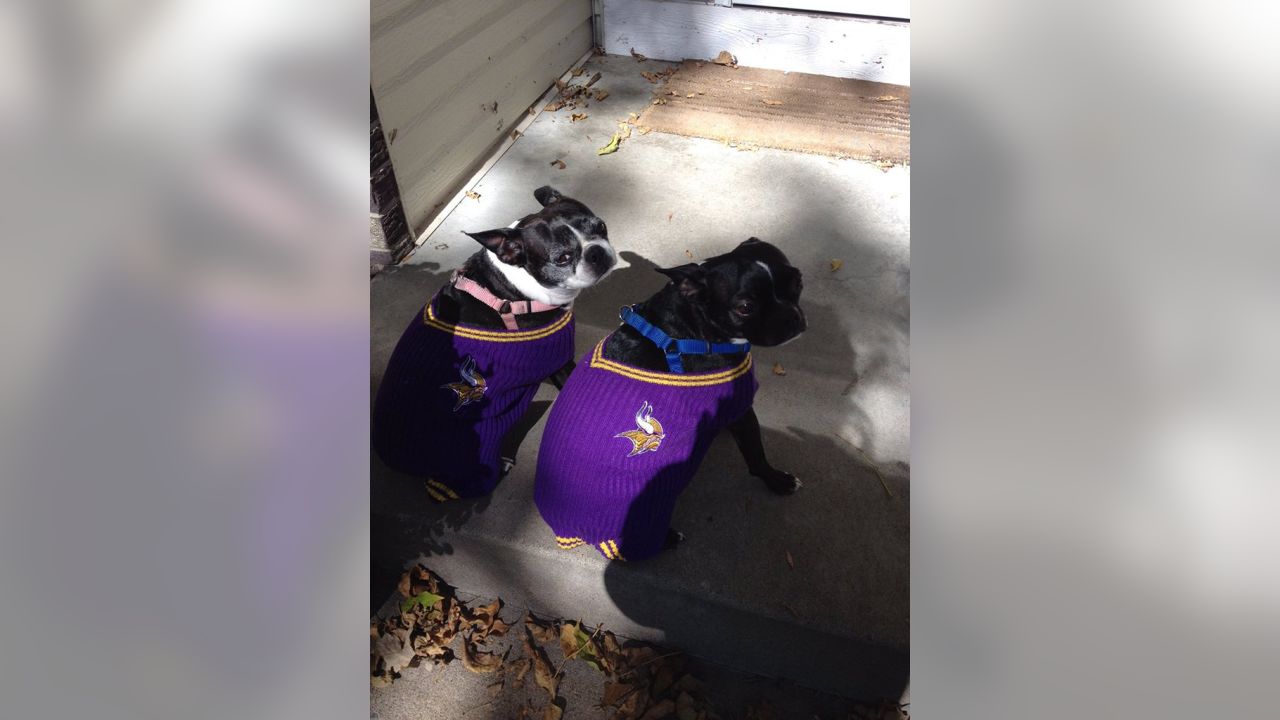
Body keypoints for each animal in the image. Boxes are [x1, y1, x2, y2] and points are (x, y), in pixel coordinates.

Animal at [535, 238, 803, 558]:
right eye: (745, 308)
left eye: (798, 282)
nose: (794, 319)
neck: (691, 327)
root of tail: (568, 529)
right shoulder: (741, 407)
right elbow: (756, 455)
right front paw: (777, 480)